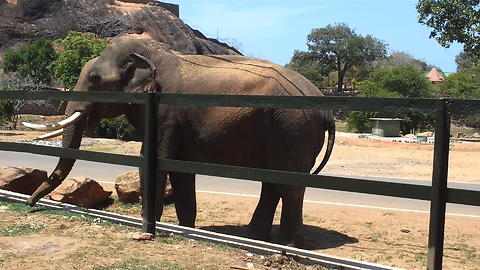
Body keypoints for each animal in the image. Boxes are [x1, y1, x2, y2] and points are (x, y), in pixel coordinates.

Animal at [24, 36, 336, 249]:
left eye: (95, 78)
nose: (29, 204)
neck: (152, 53)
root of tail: (327, 111)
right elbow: (179, 169)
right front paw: (187, 229)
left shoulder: (164, 113)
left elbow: (152, 162)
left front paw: (152, 229)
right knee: (272, 182)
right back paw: (254, 237)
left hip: (291, 129)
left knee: (289, 183)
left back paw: (287, 245)